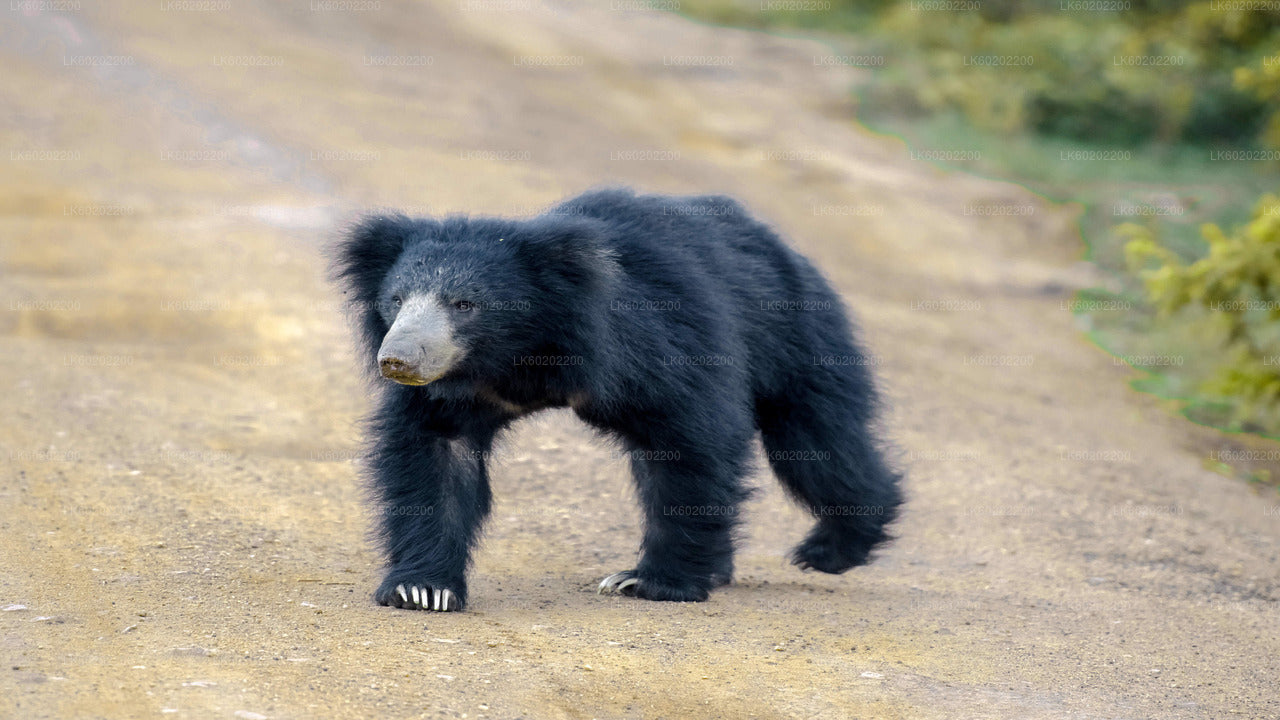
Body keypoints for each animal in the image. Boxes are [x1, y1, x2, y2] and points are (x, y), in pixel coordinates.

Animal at [335, 188, 906, 607]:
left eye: (464, 304)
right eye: (396, 300)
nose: (398, 360)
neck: (521, 355)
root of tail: (778, 243)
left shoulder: (655, 345)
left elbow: (691, 441)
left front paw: (649, 583)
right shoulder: (455, 392)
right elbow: (436, 456)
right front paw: (421, 589)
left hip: (796, 335)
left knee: (818, 444)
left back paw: (830, 549)